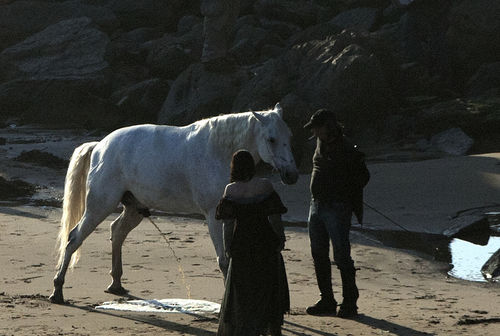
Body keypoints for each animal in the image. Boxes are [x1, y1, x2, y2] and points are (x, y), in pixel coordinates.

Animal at [47, 103, 296, 304]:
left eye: (289, 136)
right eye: (272, 139)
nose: (291, 175)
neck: (218, 152)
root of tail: (100, 146)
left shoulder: (229, 216)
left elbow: (230, 258)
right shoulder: (212, 215)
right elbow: (223, 260)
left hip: (134, 209)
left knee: (116, 232)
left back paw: (115, 284)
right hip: (99, 206)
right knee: (74, 238)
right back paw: (57, 290)